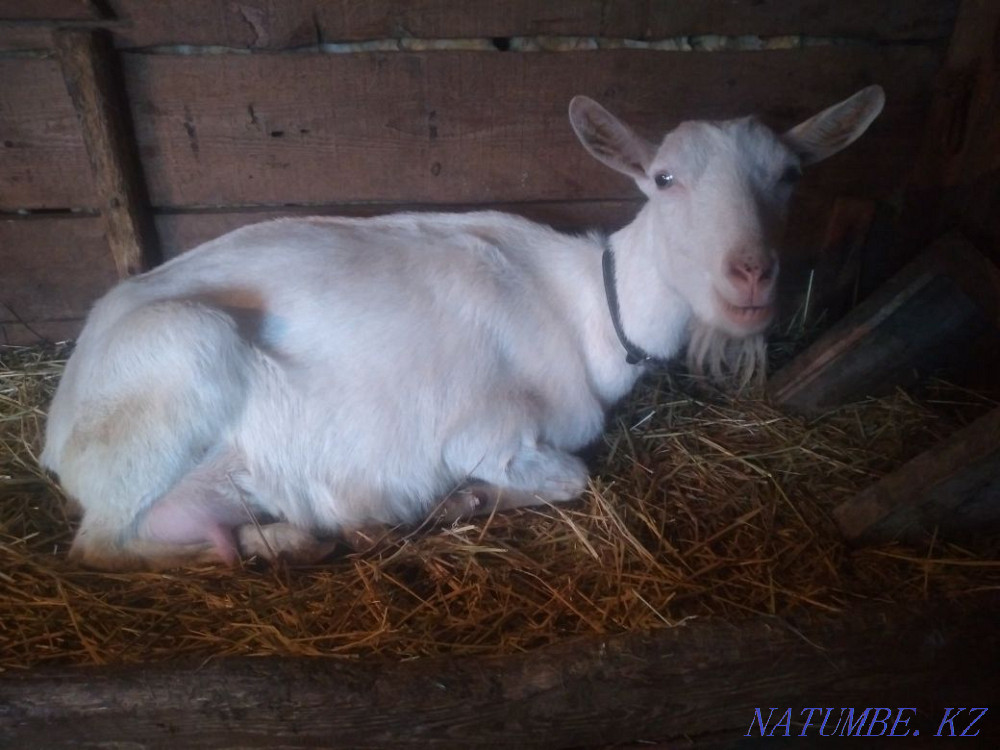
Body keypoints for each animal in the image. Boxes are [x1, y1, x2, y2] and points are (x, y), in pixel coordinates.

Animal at [41, 87, 884, 570]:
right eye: (664, 179)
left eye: (789, 176)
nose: (751, 275)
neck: (586, 309)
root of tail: (56, 424)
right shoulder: (482, 431)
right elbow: (572, 476)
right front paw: (460, 501)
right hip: (181, 364)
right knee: (98, 549)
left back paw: (276, 539)